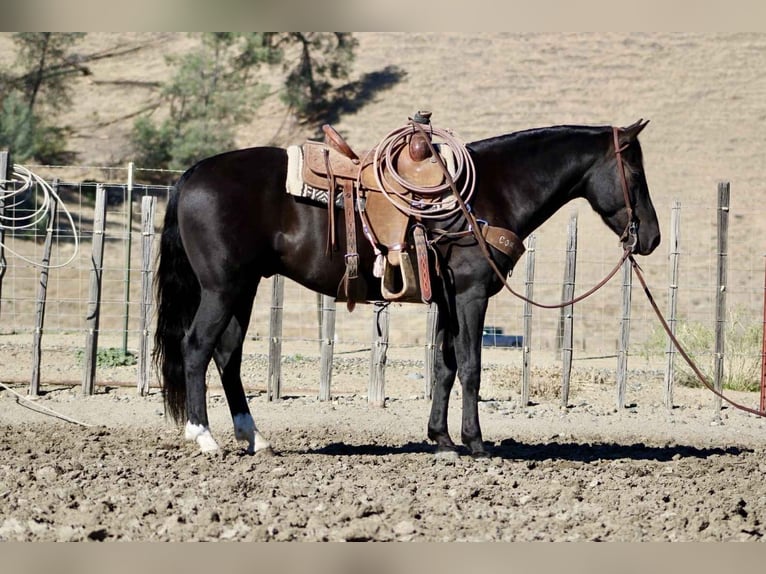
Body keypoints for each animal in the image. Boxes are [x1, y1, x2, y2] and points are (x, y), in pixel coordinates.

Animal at [152, 119, 661, 457]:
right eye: (636, 175)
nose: (651, 238)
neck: (486, 196)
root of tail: (191, 175)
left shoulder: (449, 300)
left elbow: (444, 366)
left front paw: (442, 440)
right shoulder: (472, 295)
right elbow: (471, 367)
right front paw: (476, 444)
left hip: (244, 288)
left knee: (227, 354)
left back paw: (254, 437)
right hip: (221, 288)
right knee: (197, 348)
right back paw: (204, 437)